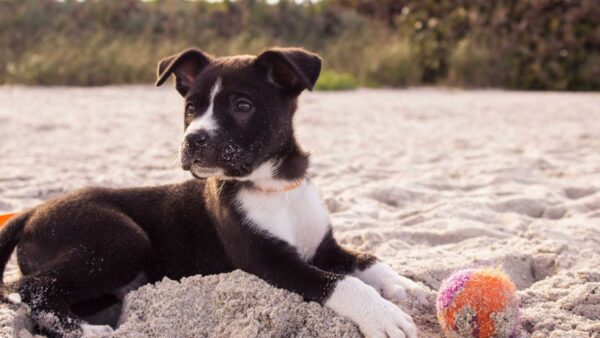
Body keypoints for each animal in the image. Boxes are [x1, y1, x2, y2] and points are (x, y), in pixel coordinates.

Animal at [1, 48, 426, 338]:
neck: (275, 186)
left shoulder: (324, 247)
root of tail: (32, 212)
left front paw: (406, 286)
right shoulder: (268, 260)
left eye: (242, 105)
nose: (193, 139)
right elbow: (339, 282)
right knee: (30, 288)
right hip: (121, 238)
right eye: (191, 107)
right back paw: (88, 331)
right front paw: (383, 315)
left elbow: (368, 260)